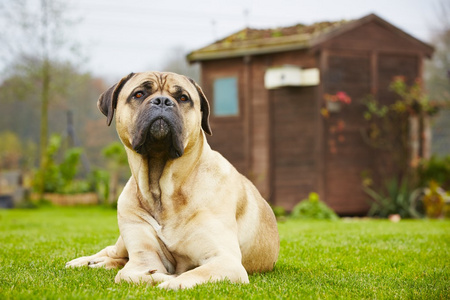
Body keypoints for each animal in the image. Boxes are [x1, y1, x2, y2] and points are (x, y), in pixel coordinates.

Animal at [65, 71, 280, 290]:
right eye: (139, 94)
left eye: (183, 98)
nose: (162, 101)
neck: (161, 190)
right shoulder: (143, 256)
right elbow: (128, 275)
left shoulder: (225, 261)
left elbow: (185, 277)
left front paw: (169, 279)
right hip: (123, 240)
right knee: (112, 252)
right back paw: (83, 261)